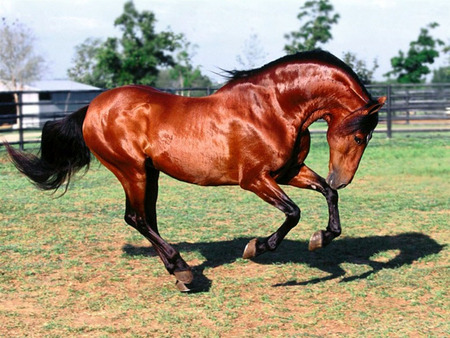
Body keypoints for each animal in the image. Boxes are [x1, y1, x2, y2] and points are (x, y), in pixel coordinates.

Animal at [5, 51, 384, 292]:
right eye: (359, 135)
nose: (343, 178)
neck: (273, 108)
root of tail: (93, 107)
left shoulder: (288, 172)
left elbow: (326, 195)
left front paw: (321, 237)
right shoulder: (255, 180)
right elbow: (293, 213)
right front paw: (257, 247)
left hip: (150, 173)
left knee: (147, 218)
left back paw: (179, 273)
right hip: (131, 170)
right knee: (136, 218)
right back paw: (183, 270)